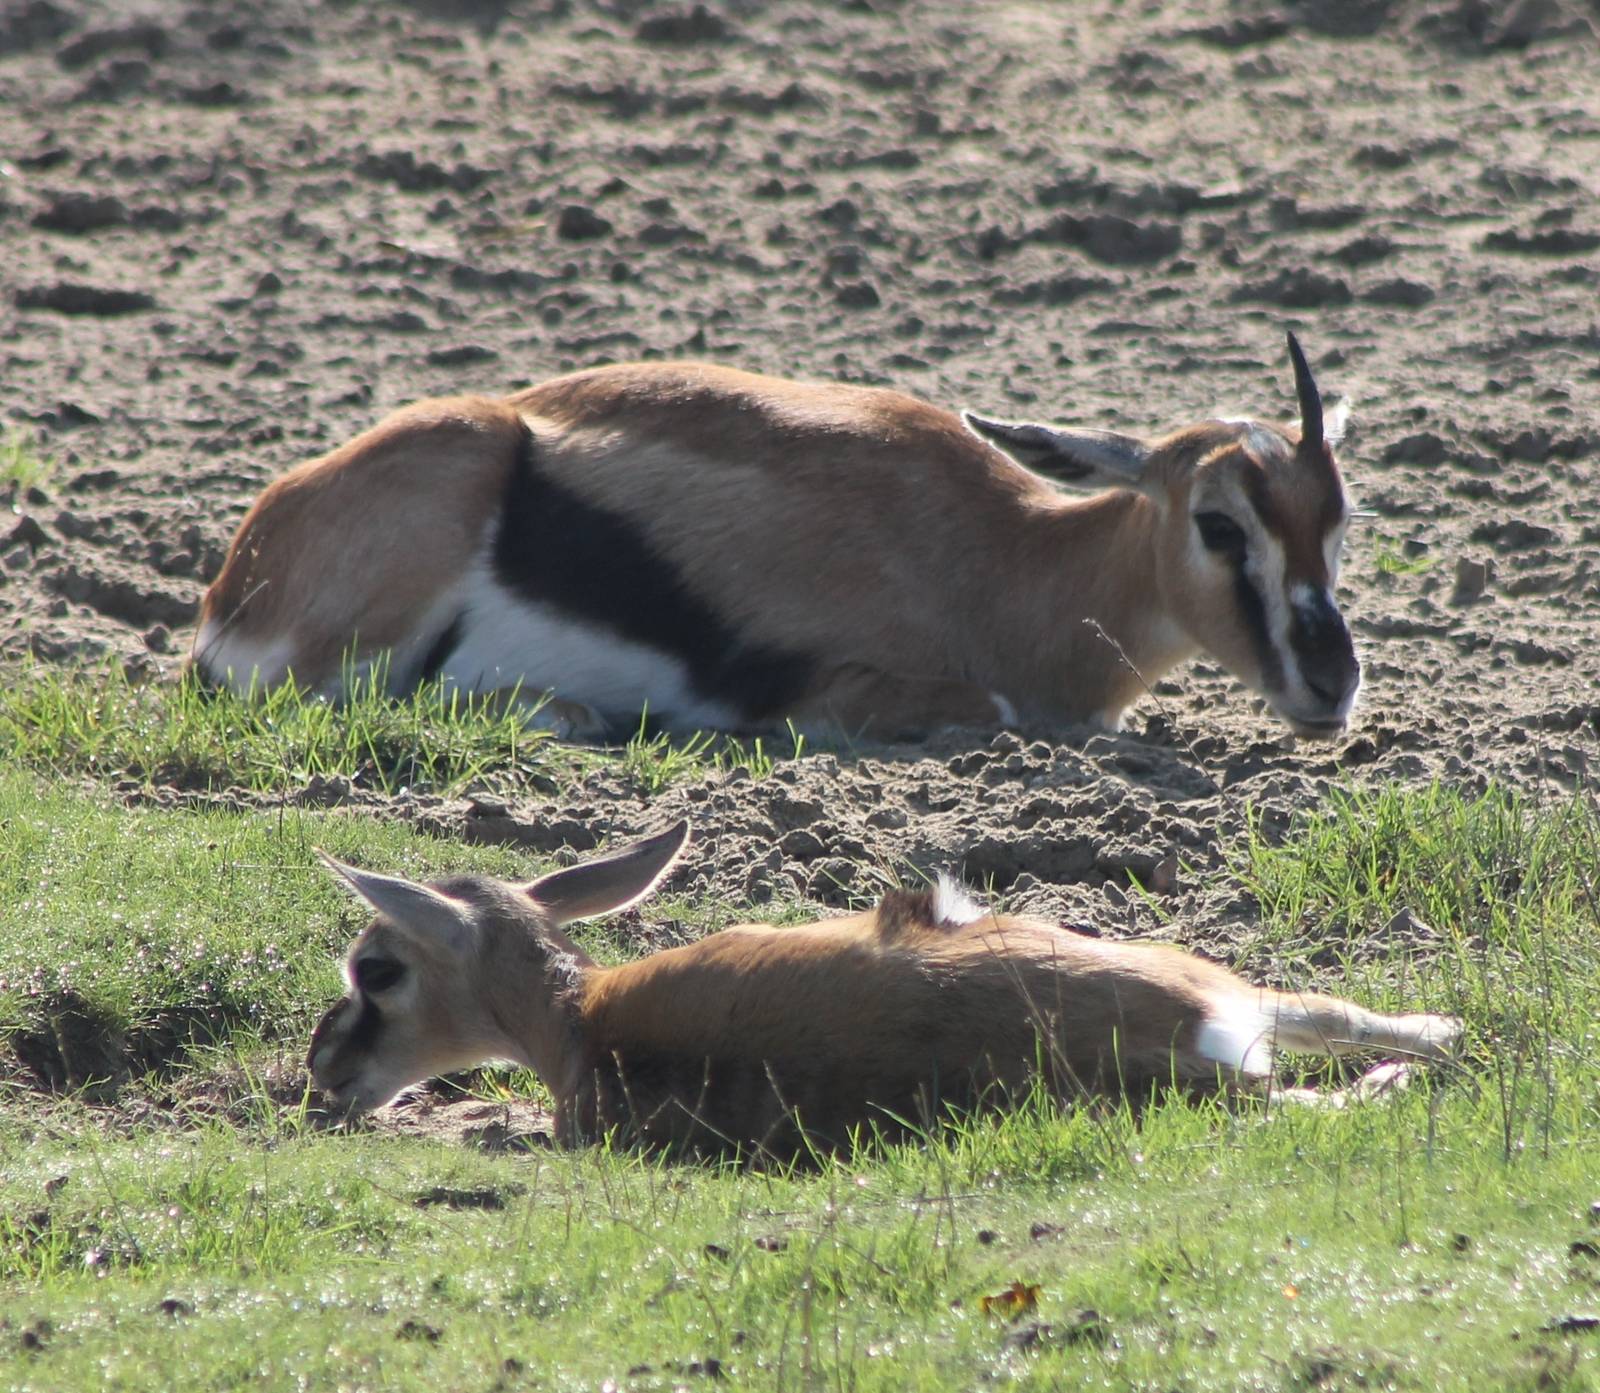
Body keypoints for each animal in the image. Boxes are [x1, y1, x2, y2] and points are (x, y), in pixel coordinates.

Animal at [192, 334, 1361, 742]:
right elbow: (983, 710)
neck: (1006, 564)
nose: (1333, 680)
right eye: (1218, 523)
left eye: (1335, 521)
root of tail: (233, 581)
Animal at [307, 823, 1460, 1159]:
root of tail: (1193, 1029)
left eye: (376, 967)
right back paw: (1434, 1045)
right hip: (1207, 1000)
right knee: (1321, 1051)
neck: (578, 1030)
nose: (323, 1070)